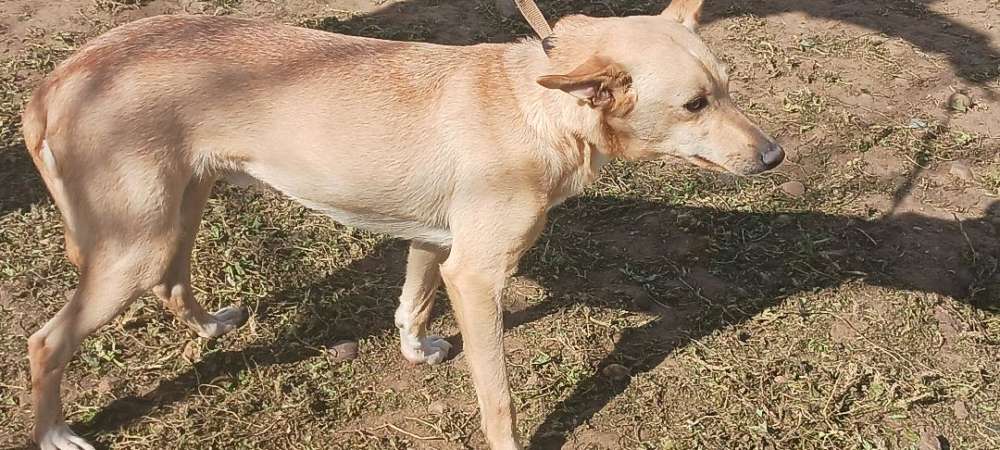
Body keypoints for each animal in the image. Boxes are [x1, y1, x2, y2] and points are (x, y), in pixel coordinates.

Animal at [21, 0, 783, 448]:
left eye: (729, 88)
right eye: (694, 104)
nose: (775, 155)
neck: (534, 104)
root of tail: (59, 78)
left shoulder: (433, 243)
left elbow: (412, 303)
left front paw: (415, 350)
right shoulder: (476, 276)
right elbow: (498, 399)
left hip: (180, 209)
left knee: (174, 283)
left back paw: (211, 328)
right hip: (131, 244)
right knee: (46, 342)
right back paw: (54, 431)